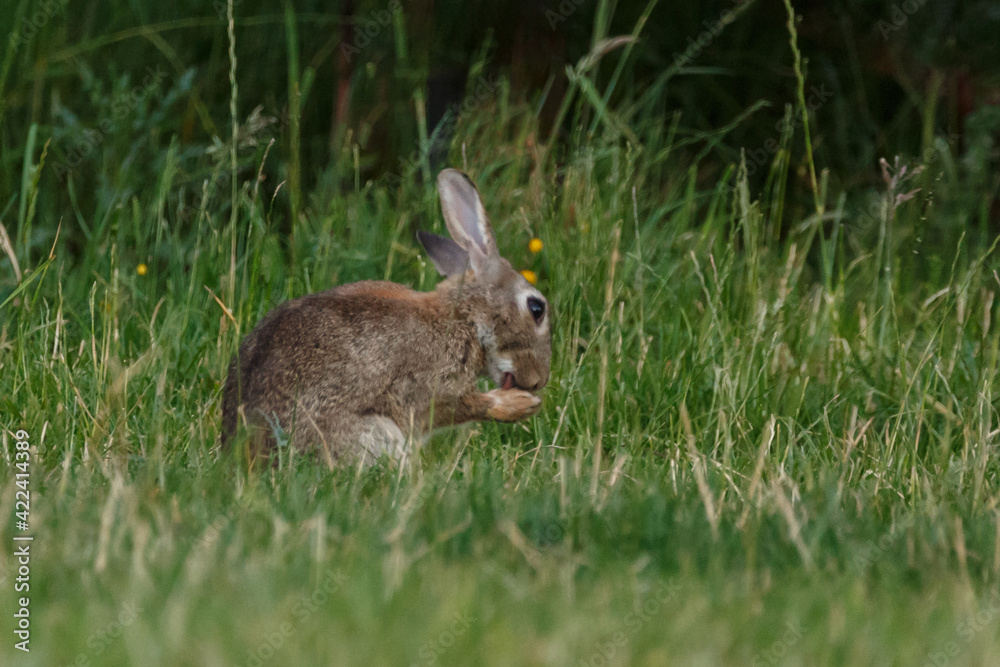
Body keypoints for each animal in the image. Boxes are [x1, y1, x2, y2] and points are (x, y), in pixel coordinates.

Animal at [221, 170, 556, 468]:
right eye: (536, 309)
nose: (539, 381)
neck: (465, 318)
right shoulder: (426, 388)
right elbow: (458, 406)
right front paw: (519, 405)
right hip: (377, 433)